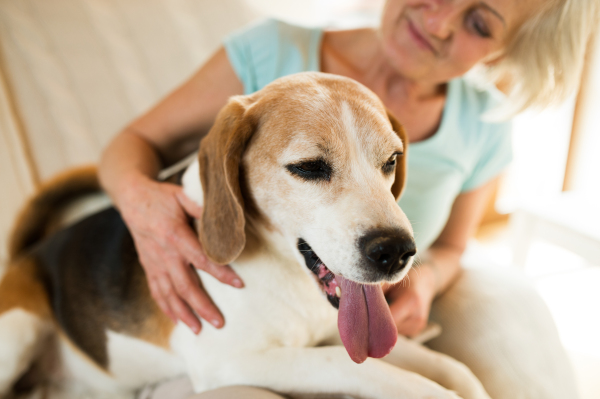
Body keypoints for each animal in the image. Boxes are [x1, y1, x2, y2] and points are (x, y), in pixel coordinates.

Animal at [0, 72, 490, 399]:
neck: (287, 276)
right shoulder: (231, 361)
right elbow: (375, 372)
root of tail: (25, 256)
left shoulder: (338, 336)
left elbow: (452, 368)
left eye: (391, 161)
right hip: (19, 328)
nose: (397, 251)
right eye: (309, 167)